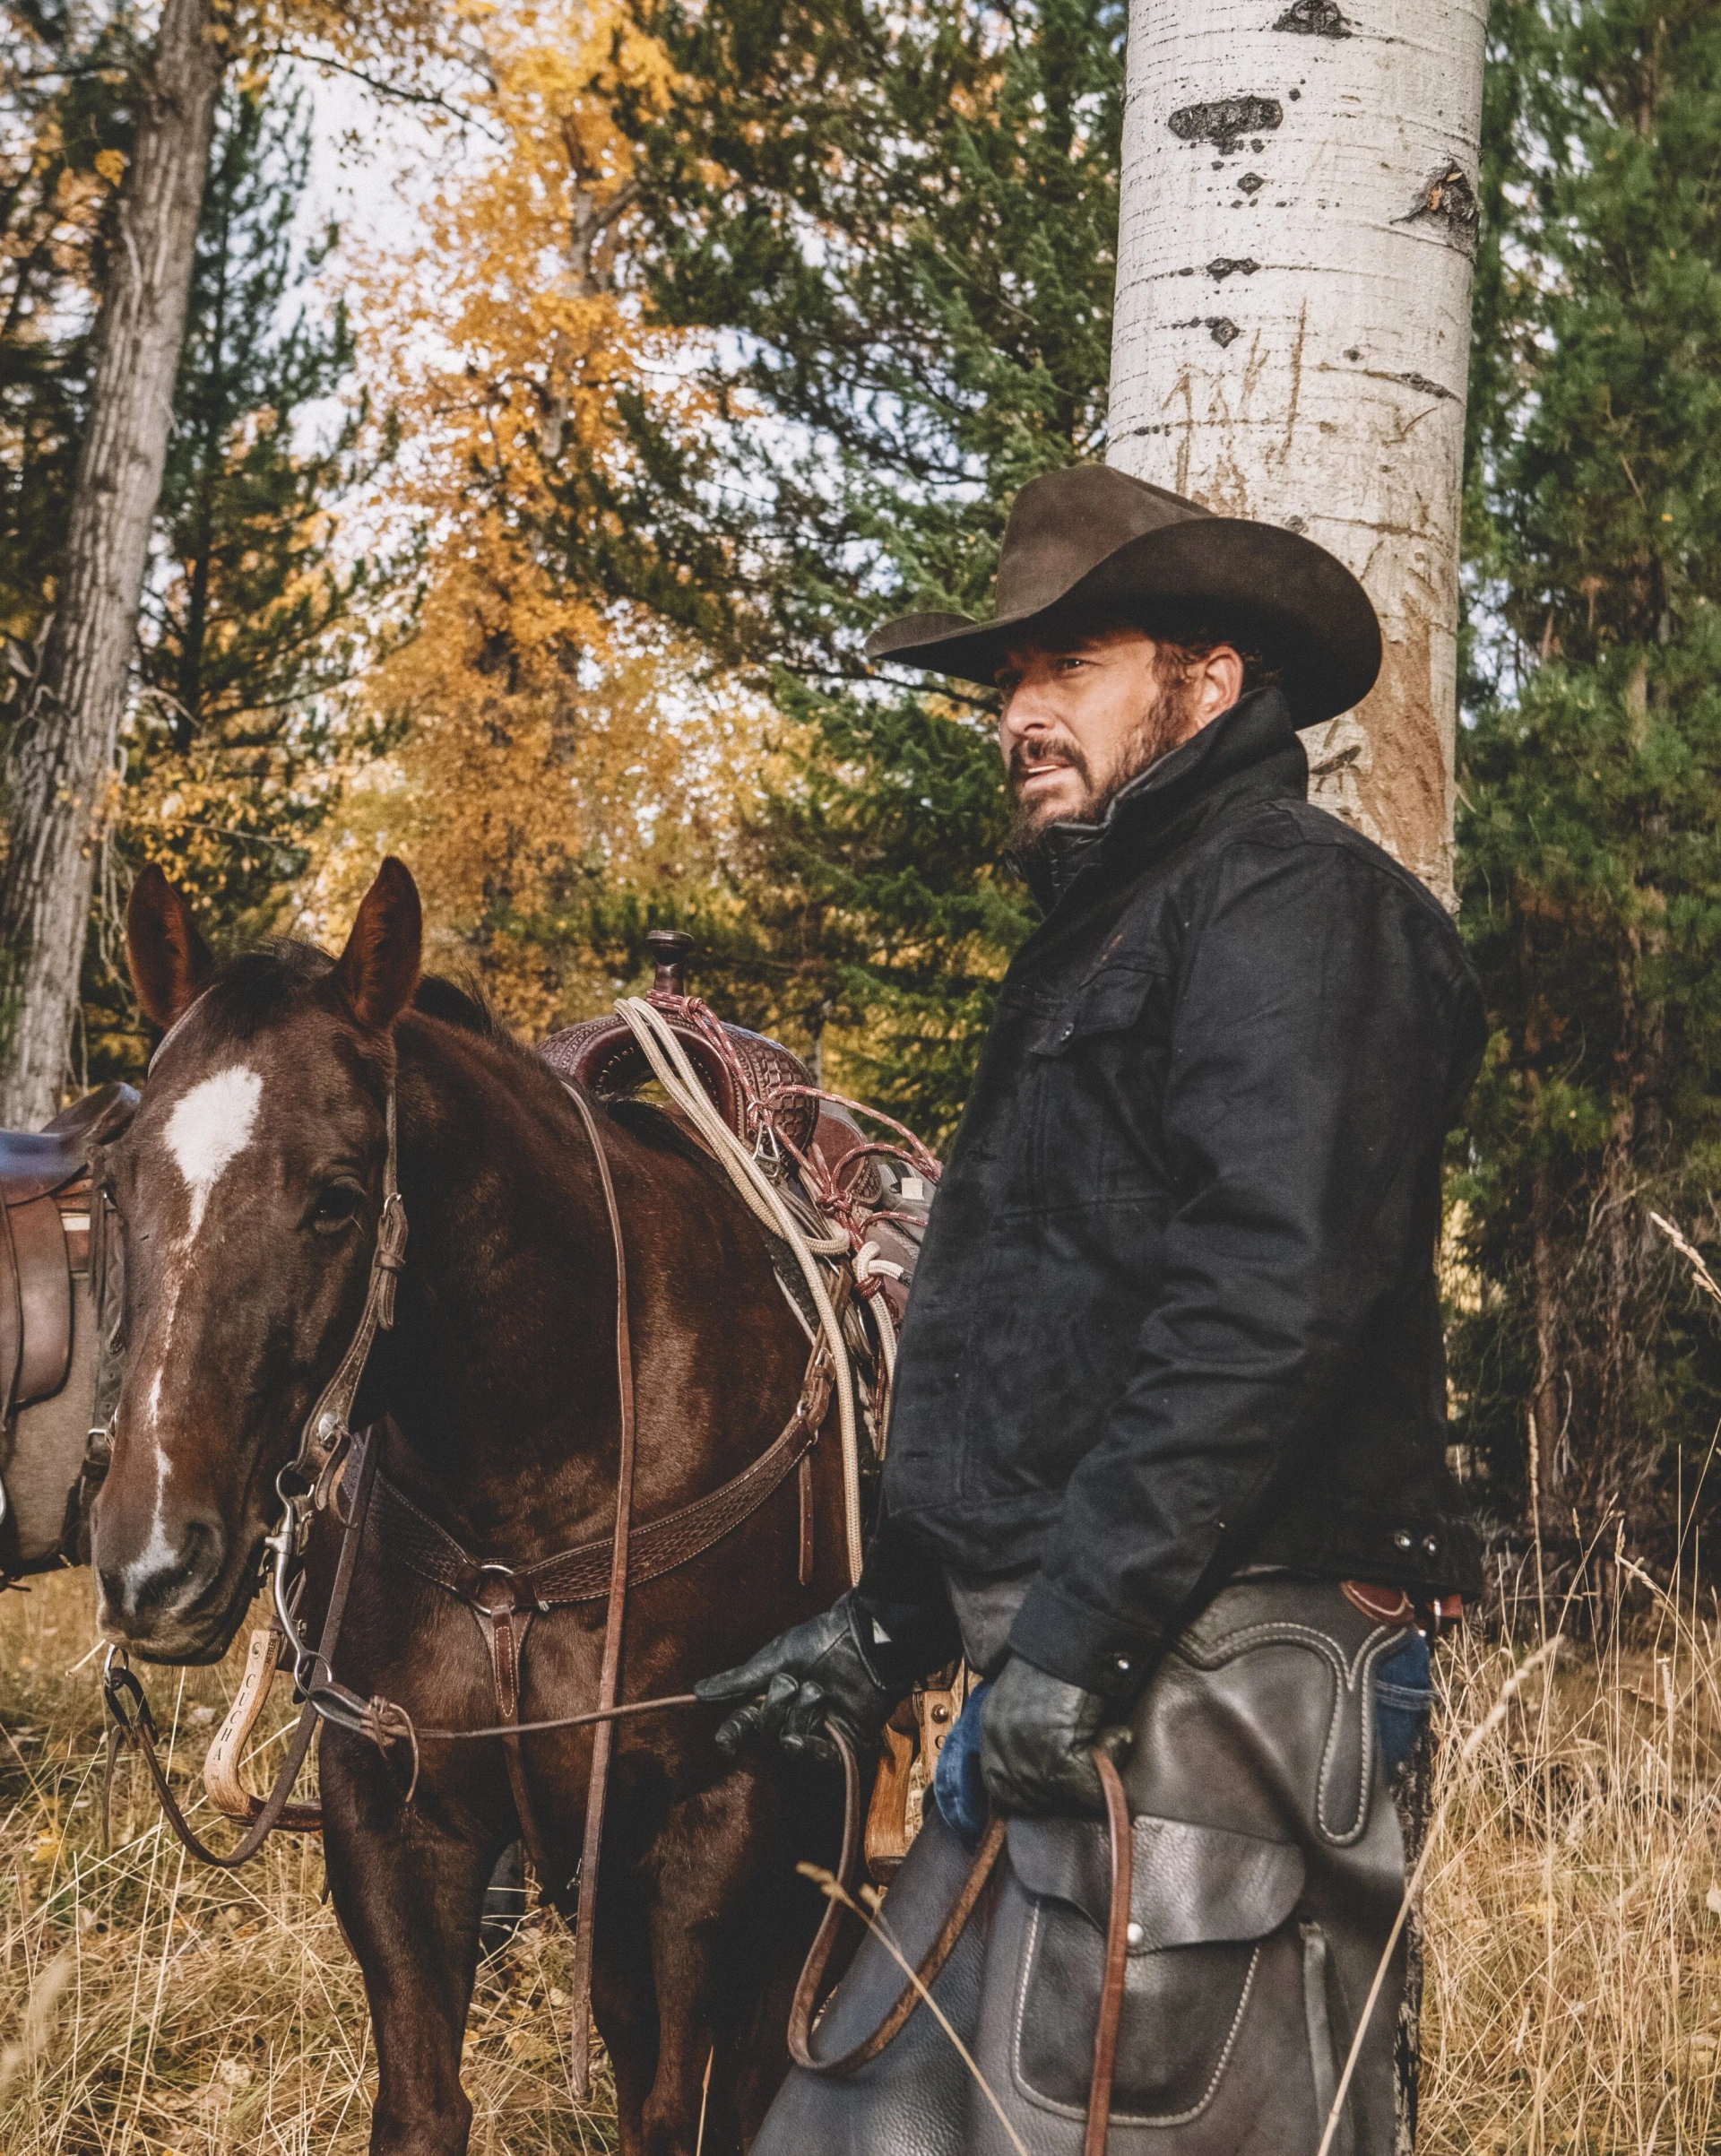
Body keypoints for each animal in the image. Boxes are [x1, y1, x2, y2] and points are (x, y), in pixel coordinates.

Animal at [89, 862, 853, 2156]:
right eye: (120, 1179)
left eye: (338, 1198)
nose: (155, 1564)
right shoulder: (399, 1820)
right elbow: (424, 2104)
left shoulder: (719, 1826)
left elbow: (679, 2106)